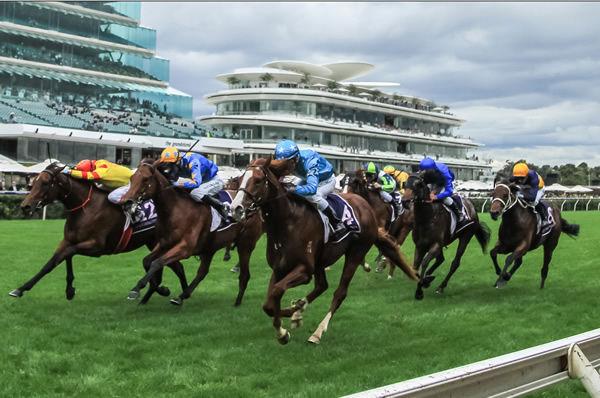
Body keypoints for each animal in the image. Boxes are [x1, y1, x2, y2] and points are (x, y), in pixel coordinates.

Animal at [11, 163, 188, 304]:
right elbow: (51, 263)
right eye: (33, 182)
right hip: (155, 243)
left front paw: (69, 289)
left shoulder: (96, 247)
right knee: (173, 266)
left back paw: (172, 292)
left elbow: (68, 253)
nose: (25, 206)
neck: (85, 208)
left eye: (45, 182)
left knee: (172, 266)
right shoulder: (68, 240)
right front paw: (21, 289)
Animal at [122, 161, 262, 304]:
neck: (176, 210)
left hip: (245, 244)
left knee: (244, 274)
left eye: (145, 179)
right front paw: (157, 287)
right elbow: (146, 261)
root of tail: (253, 206)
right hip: (210, 247)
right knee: (203, 272)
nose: (127, 202)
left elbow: (157, 262)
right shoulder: (164, 244)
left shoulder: (185, 248)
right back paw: (181, 296)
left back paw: (237, 301)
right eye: (131, 178)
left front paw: (137, 288)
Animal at [230, 159, 418, 346]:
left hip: (356, 252)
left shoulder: (304, 270)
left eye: (258, 180)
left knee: (340, 293)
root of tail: (367, 208)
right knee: (322, 286)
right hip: (321, 260)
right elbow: (269, 305)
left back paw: (317, 332)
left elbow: (276, 292)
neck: (288, 223)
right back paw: (298, 310)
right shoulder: (279, 269)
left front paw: (283, 332)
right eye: (240, 179)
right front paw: (288, 322)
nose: (235, 208)